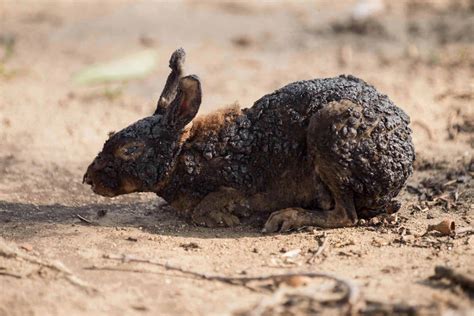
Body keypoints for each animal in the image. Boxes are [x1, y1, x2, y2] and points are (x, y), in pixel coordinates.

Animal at [84, 49, 414, 232]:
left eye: (130, 150)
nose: (89, 179)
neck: (182, 154)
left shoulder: (238, 183)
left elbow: (207, 206)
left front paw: (222, 219)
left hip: (330, 129)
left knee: (347, 215)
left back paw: (287, 218)